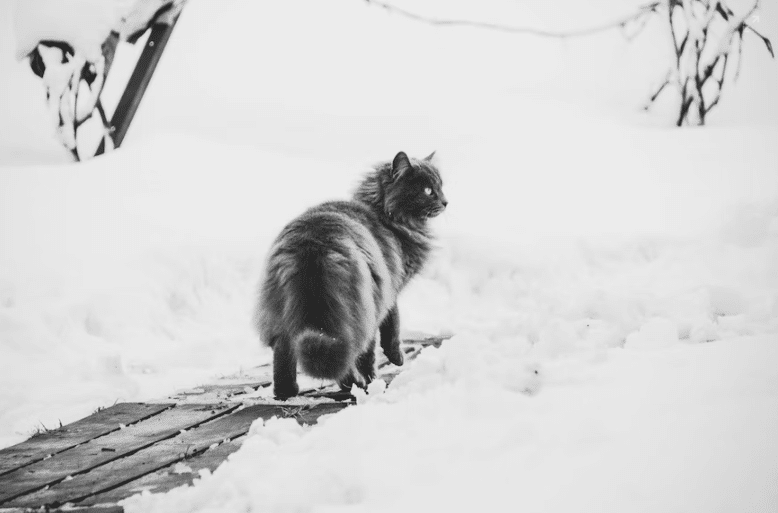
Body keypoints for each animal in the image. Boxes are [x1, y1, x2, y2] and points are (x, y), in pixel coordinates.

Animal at [255, 150, 446, 398]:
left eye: (441, 186)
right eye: (428, 190)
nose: (446, 201)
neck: (384, 214)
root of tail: (311, 247)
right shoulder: (390, 289)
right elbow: (390, 330)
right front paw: (394, 361)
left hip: (284, 316)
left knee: (284, 354)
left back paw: (287, 392)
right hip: (360, 310)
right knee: (348, 355)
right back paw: (359, 385)